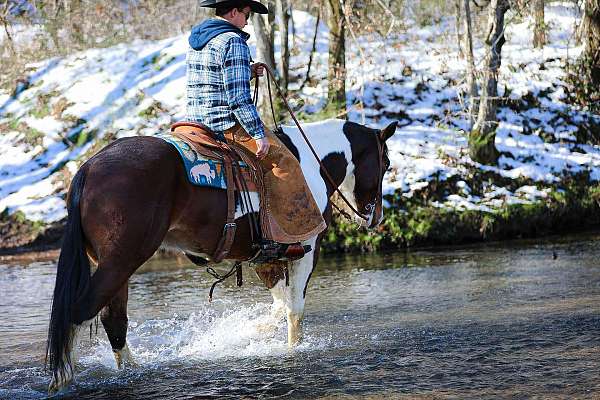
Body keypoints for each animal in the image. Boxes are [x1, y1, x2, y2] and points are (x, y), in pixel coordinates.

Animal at [47, 118, 398, 394]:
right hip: (123, 260)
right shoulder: (307, 249)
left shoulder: (265, 258)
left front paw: (248, 333)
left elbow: (279, 305)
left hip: (114, 265)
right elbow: (294, 309)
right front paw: (292, 351)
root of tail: (89, 168)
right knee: (79, 312)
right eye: (386, 164)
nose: (376, 217)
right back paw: (63, 379)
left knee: (112, 319)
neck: (310, 164)